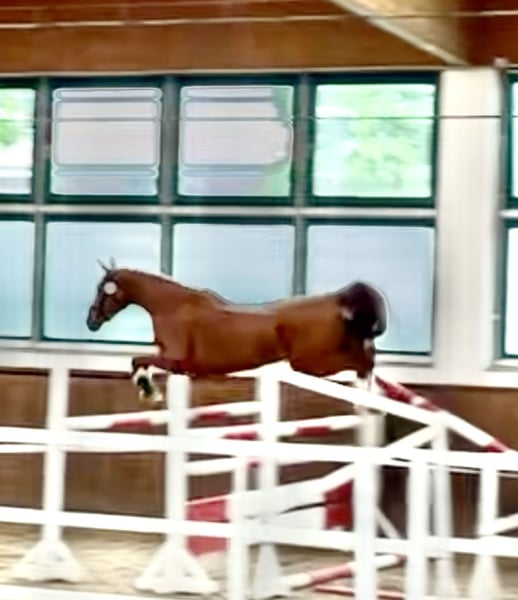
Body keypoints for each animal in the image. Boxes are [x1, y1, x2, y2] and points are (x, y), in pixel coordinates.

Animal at [86, 259, 388, 407]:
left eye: (103, 290)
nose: (91, 321)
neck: (172, 307)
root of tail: (338, 301)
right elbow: (138, 362)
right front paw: (148, 390)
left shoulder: (176, 362)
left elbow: (138, 360)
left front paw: (149, 392)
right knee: (366, 353)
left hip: (309, 364)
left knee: (362, 360)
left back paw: (367, 388)